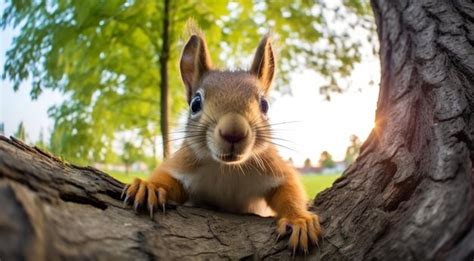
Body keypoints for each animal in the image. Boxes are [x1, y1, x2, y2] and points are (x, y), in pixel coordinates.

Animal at [122, 28, 322, 252]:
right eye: (195, 103)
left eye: (265, 105)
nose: (233, 132)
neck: (227, 169)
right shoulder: (184, 164)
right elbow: (167, 179)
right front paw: (149, 187)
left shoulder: (273, 167)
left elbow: (289, 189)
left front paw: (299, 220)